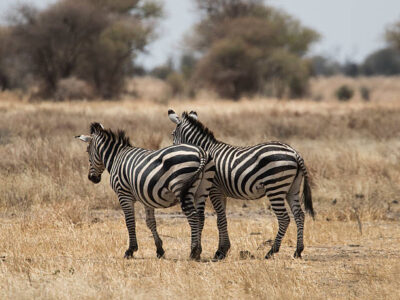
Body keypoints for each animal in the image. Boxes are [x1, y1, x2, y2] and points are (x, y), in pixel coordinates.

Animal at [73, 123, 214, 258]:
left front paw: (130, 250)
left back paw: (194, 251)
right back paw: (199, 250)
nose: (92, 178)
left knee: (193, 216)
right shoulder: (147, 196)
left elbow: (129, 221)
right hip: (202, 190)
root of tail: (200, 151)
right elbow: (150, 222)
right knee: (200, 217)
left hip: (182, 187)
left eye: (87, 151)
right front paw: (160, 250)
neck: (116, 157)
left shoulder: (123, 194)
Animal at [167, 109, 314, 260]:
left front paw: (220, 251)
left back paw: (271, 251)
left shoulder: (214, 190)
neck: (206, 150)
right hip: (293, 188)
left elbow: (220, 220)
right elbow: (222, 218)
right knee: (299, 215)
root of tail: (294, 153)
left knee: (284, 218)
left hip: (275, 187)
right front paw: (223, 249)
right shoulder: (222, 192)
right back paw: (298, 251)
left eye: (172, 134)